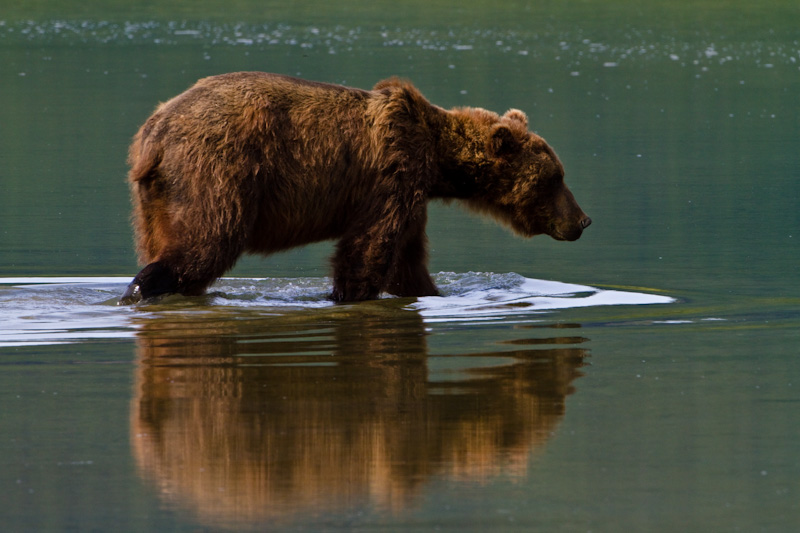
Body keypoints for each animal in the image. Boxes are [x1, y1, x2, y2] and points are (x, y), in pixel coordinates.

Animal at [120, 71, 592, 304]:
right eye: (556, 178)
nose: (584, 220)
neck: (437, 162)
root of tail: (153, 133)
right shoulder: (392, 174)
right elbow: (367, 251)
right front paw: (350, 295)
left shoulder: (411, 196)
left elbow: (408, 263)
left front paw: (429, 290)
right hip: (217, 169)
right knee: (206, 243)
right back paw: (142, 288)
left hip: (156, 198)